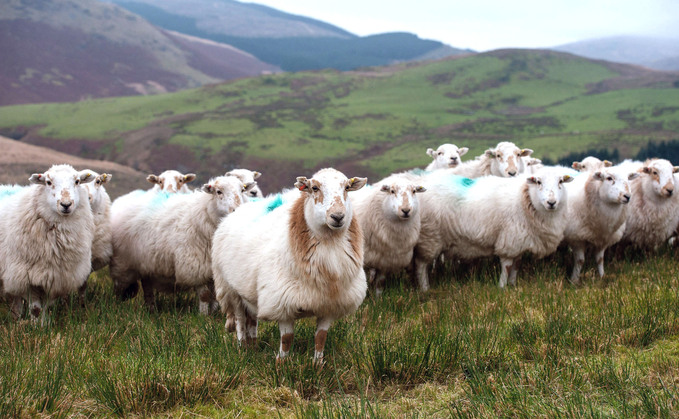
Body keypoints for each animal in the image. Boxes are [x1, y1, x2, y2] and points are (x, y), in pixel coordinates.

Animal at [0, 164, 95, 322]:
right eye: (48, 182)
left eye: (77, 181)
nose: (66, 204)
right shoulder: (28, 277)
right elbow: (36, 309)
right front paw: (35, 326)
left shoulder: (53, 277)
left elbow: (43, 308)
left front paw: (44, 324)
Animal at [110, 176, 254, 314]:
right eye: (219, 192)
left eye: (242, 190)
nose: (237, 210)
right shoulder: (195, 266)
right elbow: (205, 295)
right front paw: (203, 316)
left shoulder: (212, 269)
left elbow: (214, 296)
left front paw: (212, 313)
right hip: (123, 264)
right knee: (119, 287)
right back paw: (116, 307)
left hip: (146, 264)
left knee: (147, 287)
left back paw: (151, 309)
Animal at [215, 169, 370, 362]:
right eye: (314, 188)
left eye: (347, 187)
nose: (338, 216)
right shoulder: (282, 301)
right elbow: (287, 339)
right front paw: (282, 363)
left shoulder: (329, 303)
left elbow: (321, 337)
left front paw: (317, 364)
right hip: (230, 289)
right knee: (240, 321)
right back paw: (242, 348)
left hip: (248, 292)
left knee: (252, 319)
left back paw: (253, 347)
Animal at [414, 167, 572, 288]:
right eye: (538, 182)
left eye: (560, 181)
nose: (551, 202)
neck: (524, 200)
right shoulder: (508, 240)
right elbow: (507, 266)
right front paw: (502, 287)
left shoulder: (519, 241)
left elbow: (516, 266)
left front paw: (513, 286)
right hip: (429, 237)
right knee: (421, 265)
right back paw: (425, 289)